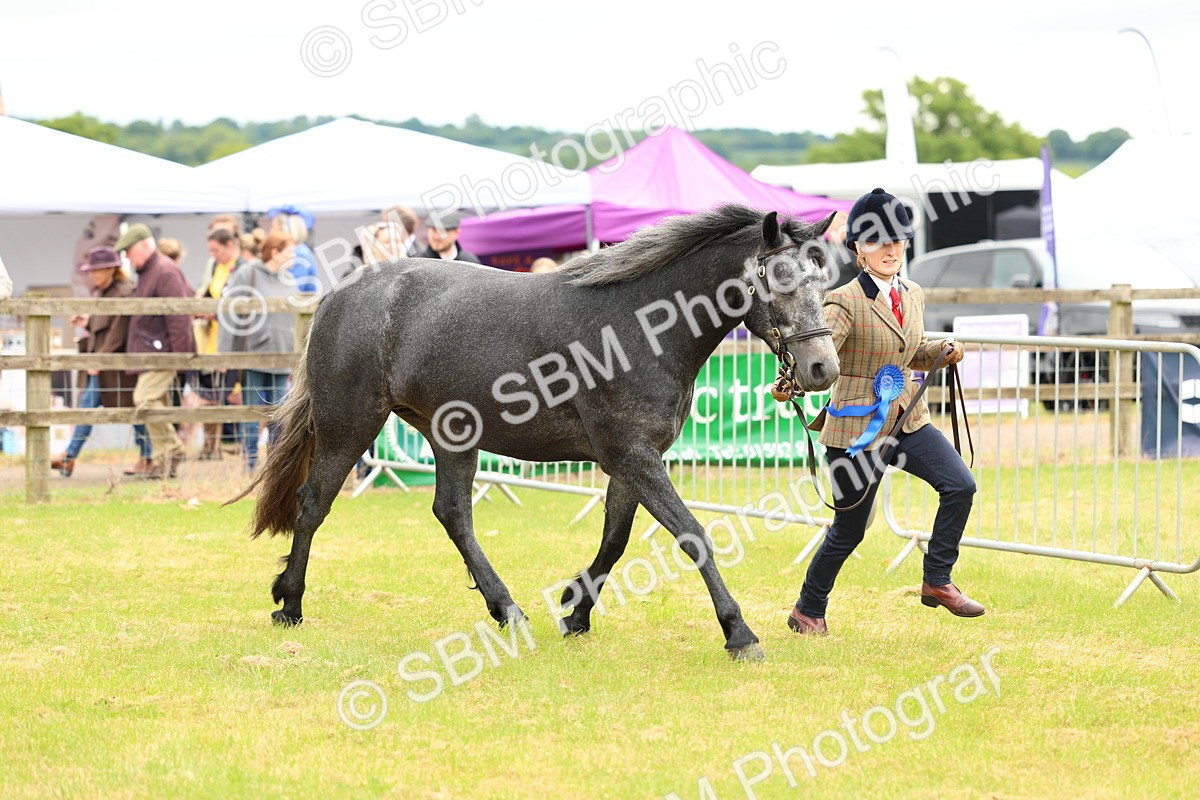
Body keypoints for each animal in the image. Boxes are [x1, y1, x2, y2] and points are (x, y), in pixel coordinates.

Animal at [231, 204, 839, 661]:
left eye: (823, 277)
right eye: (780, 280)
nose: (822, 369)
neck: (641, 326)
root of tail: (341, 293)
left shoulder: (631, 461)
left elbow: (614, 541)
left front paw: (575, 610)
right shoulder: (634, 456)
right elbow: (694, 535)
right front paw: (739, 633)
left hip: (451, 436)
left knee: (453, 514)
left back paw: (508, 610)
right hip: (349, 425)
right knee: (314, 504)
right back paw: (290, 603)